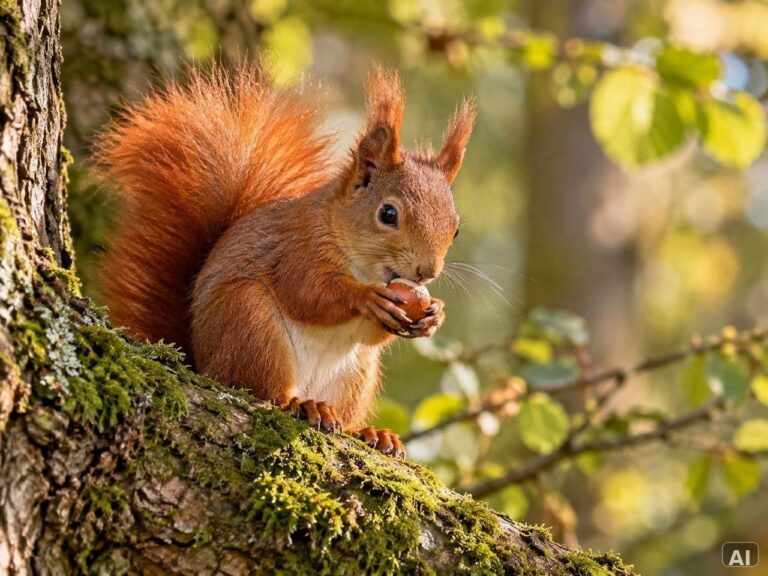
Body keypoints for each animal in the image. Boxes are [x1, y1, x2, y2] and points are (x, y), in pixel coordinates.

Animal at [96, 64, 475, 457]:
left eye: (455, 229)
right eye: (388, 214)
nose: (426, 271)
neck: (364, 266)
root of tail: (201, 362)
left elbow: (371, 336)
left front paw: (434, 315)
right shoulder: (295, 246)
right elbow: (307, 292)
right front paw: (366, 298)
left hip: (355, 373)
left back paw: (370, 433)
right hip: (249, 322)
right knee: (261, 390)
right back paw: (302, 404)